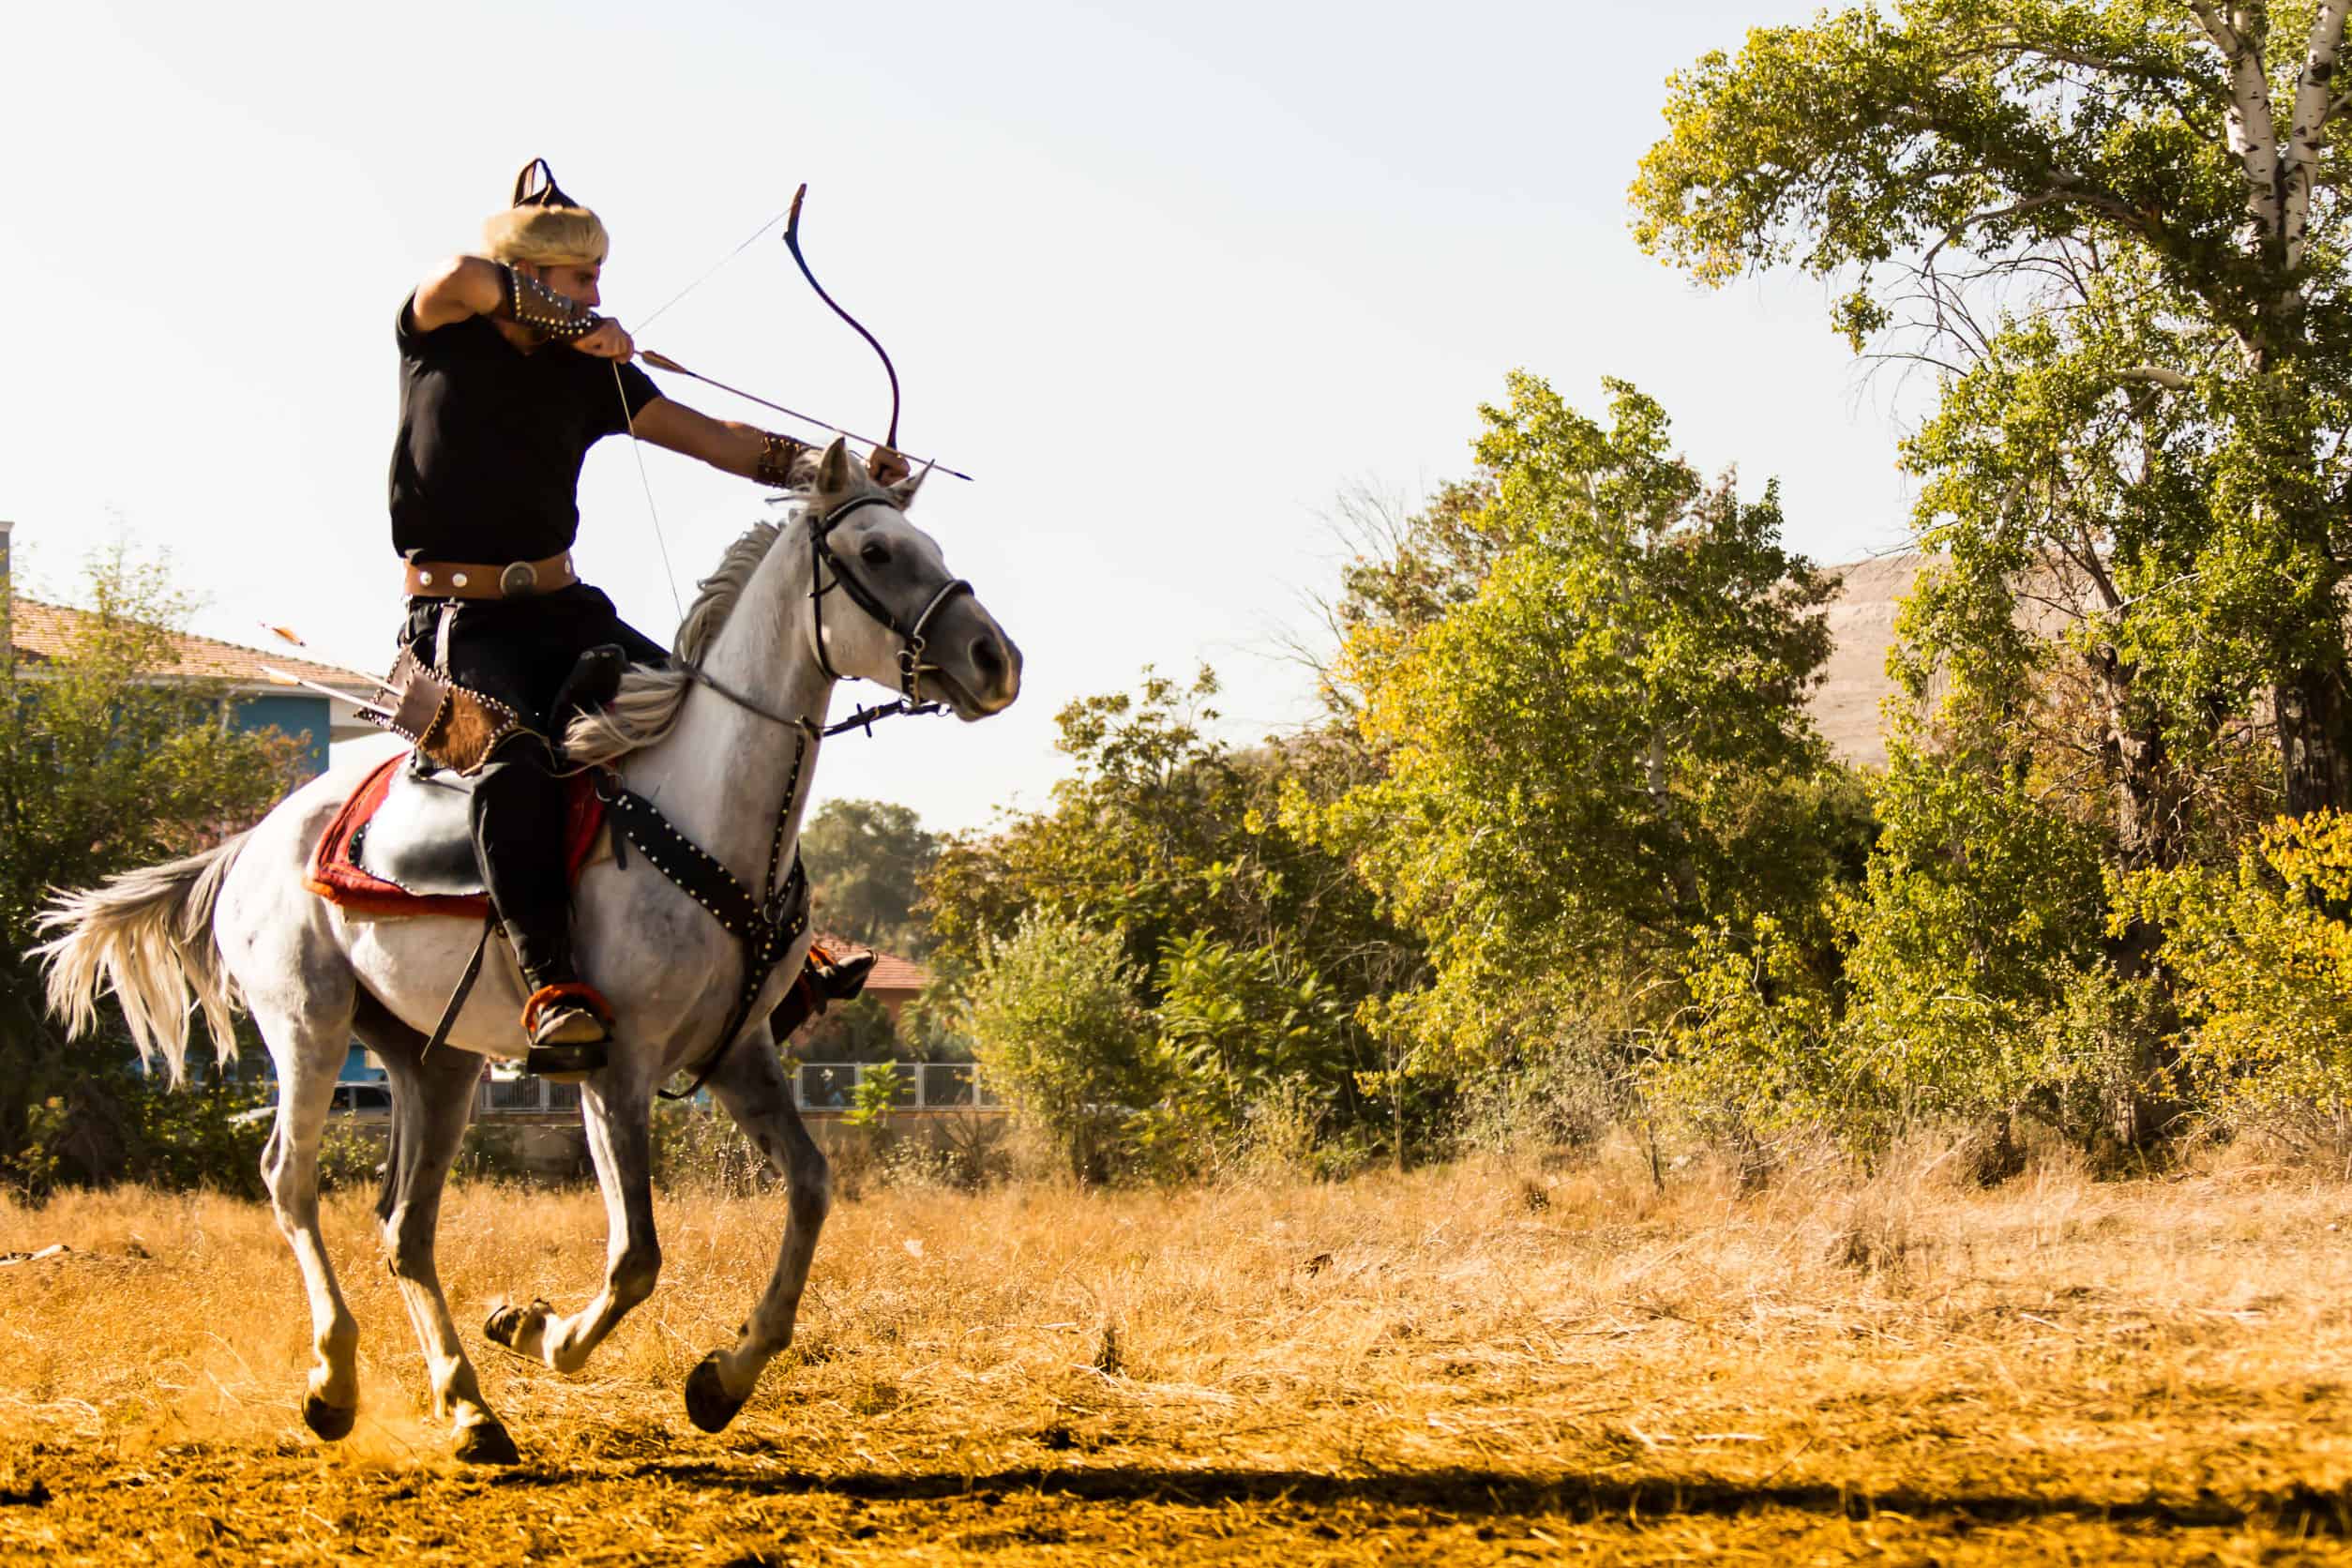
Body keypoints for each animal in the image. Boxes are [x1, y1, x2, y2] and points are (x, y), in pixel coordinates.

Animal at [29, 439, 1020, 1457]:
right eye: (875, 551)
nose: (996, 659)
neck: (706, 811)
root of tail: (251, 843)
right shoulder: (613, 1067)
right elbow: (635, 1258)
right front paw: (536, 1329)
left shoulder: (739, 1053)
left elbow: (812, 1191)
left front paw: (722, 1377)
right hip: (309, 1025)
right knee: (290, 1181)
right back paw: (335, 1380)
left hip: (435, 1063)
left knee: (405, 1227)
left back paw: (468, 1405)